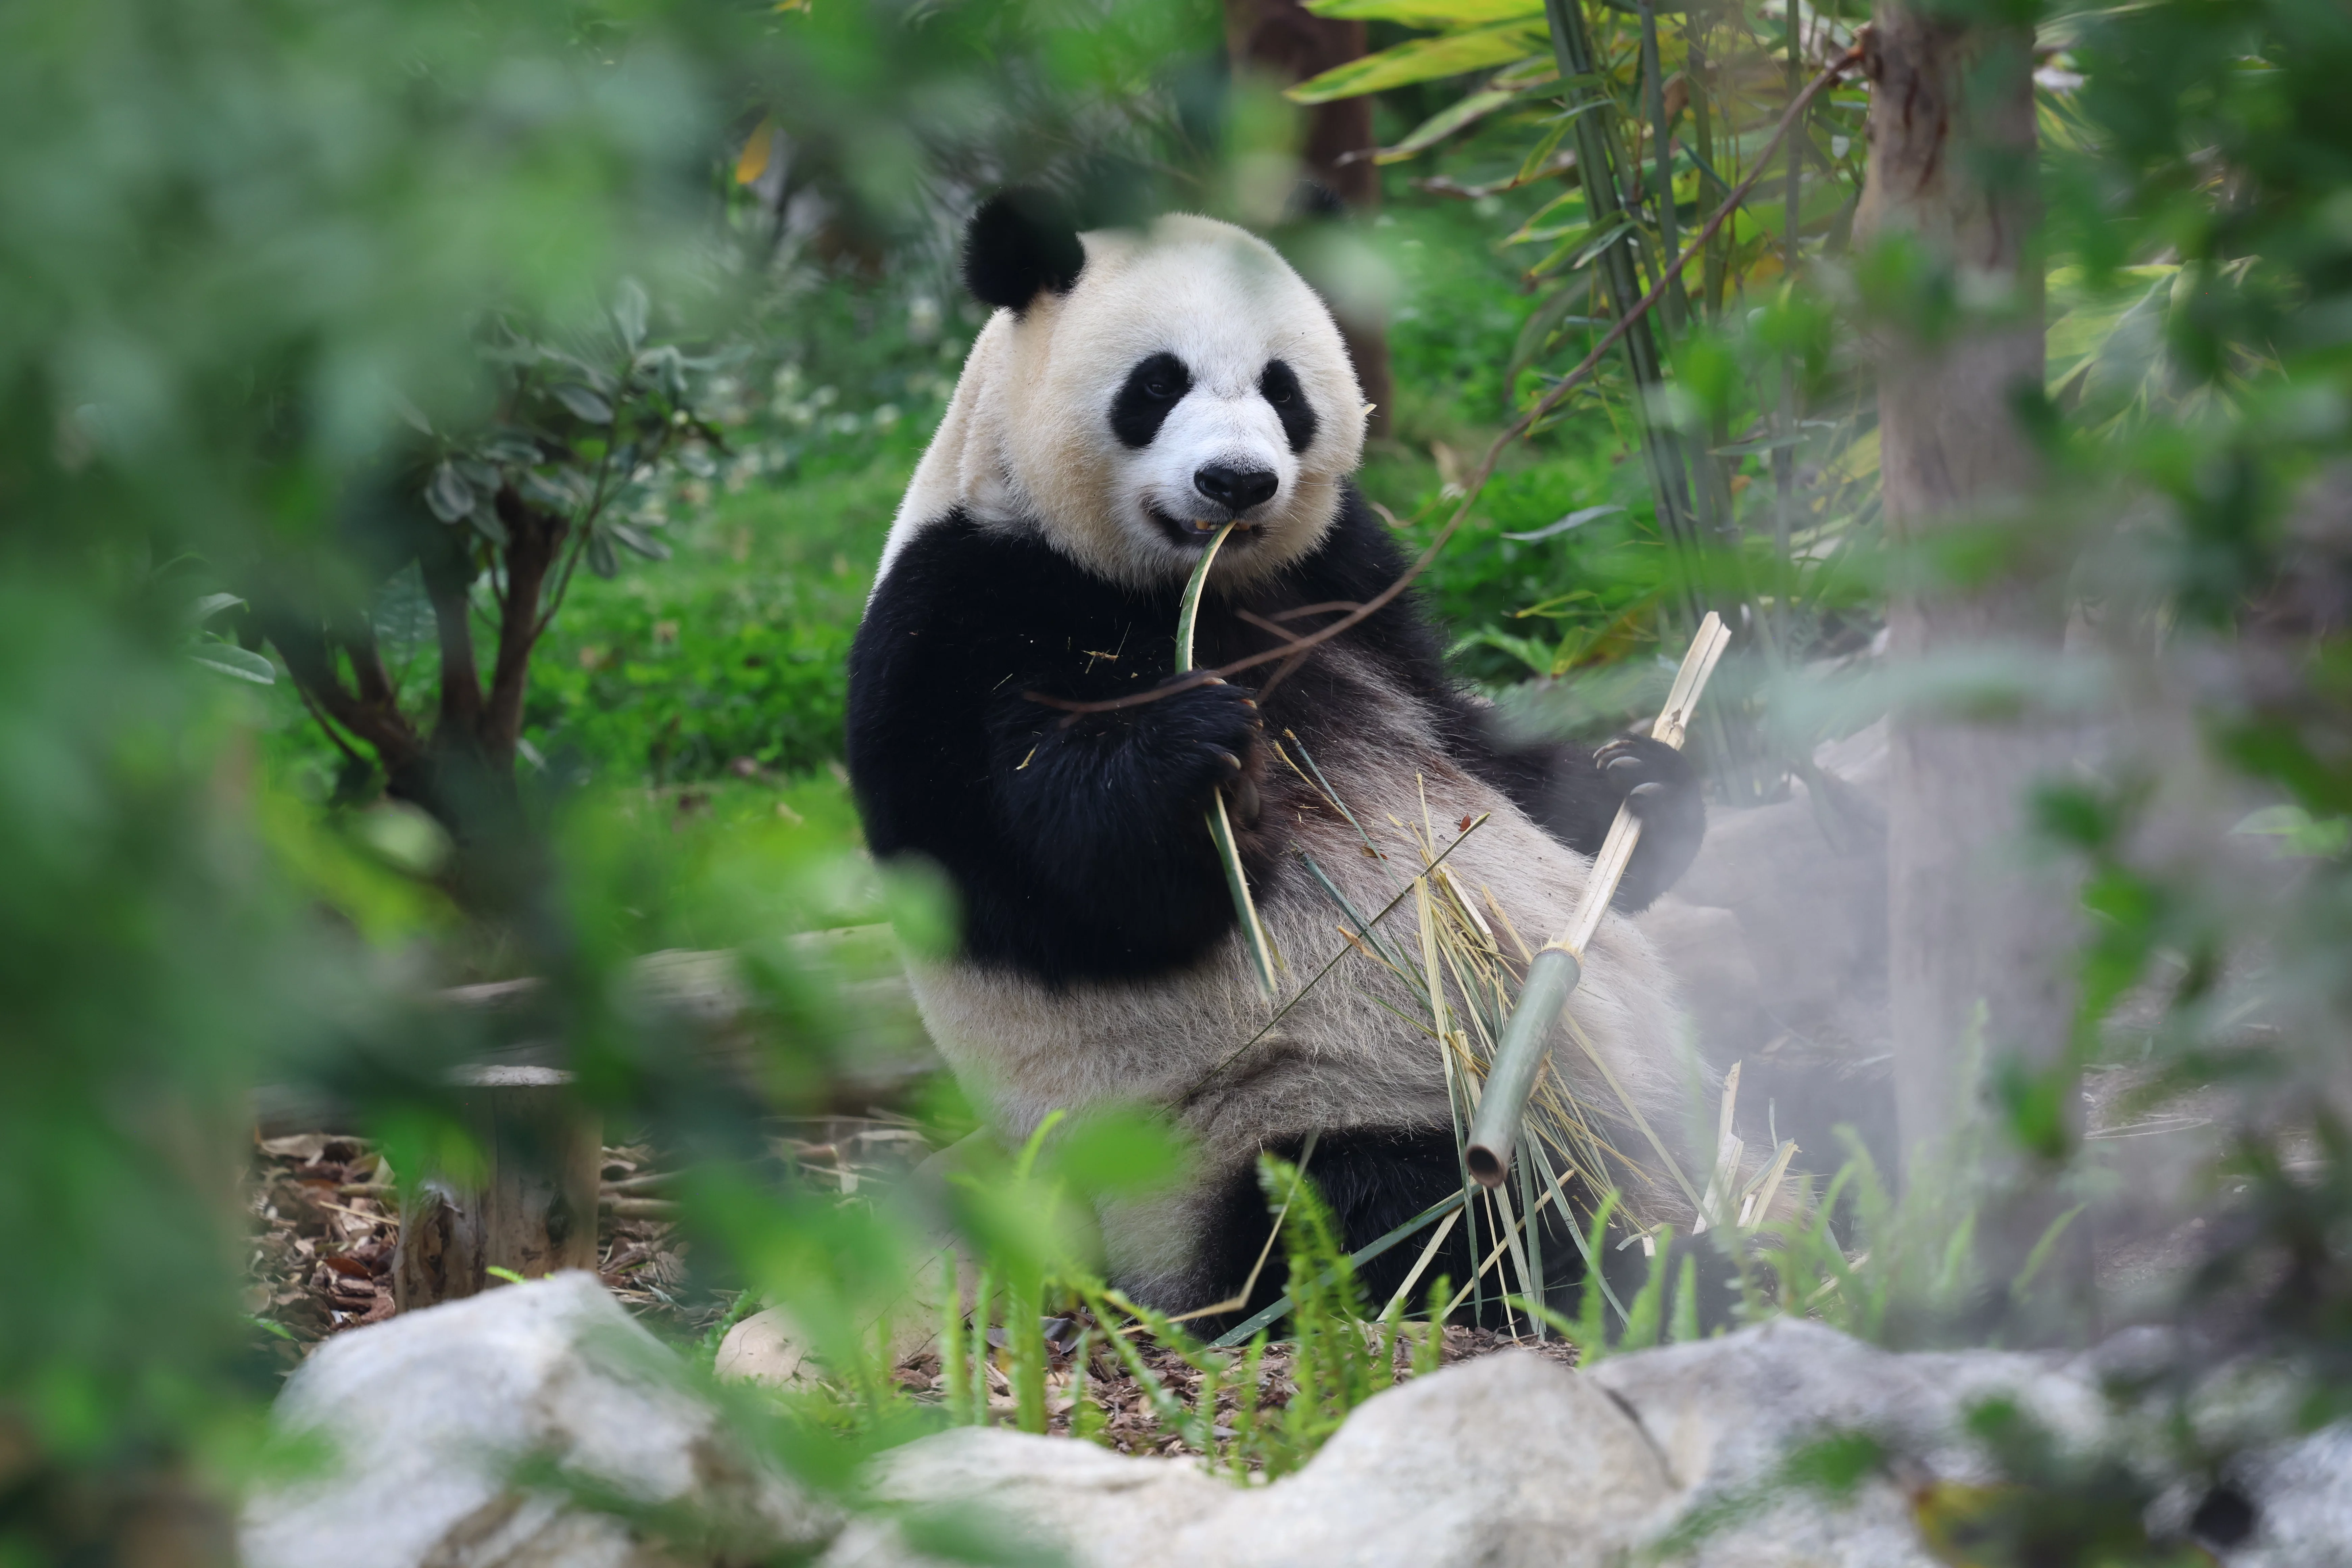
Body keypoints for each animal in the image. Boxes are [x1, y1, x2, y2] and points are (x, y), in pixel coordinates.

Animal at [847, 190, 1710, 1322]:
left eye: (1282, 389)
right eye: (1155, 384)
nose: (1238, 481)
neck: (1192, 587)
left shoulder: (1343, 582)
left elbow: (1473, 747)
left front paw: (1641, 782)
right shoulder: (957, 613)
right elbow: (1040, 874)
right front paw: (1198, 760)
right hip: (1282, 1118)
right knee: (1406, 1214)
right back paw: (1632, 1263)